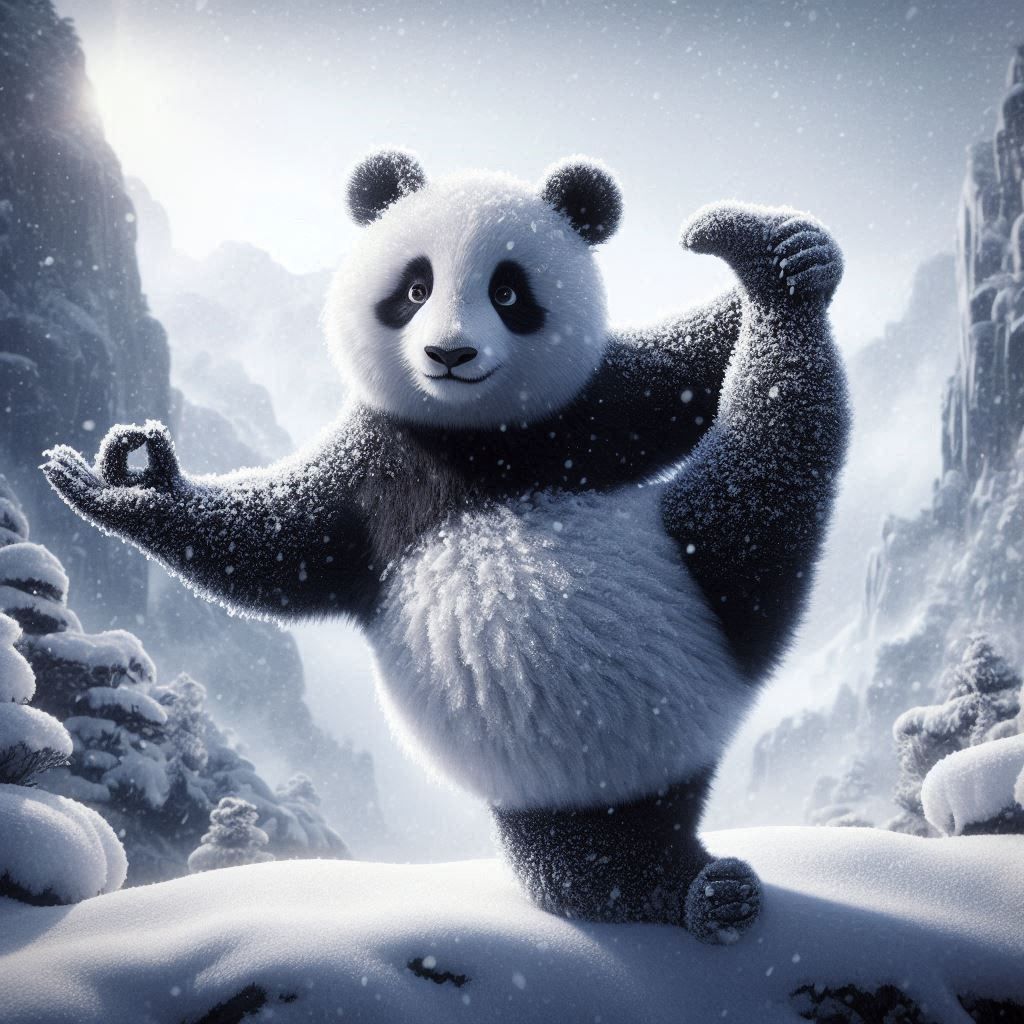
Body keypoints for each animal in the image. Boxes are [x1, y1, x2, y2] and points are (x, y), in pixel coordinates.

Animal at [43, 150, 849, 944]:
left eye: (510, 292)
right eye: (415, 286)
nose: (450, 353)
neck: (472, 435)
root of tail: (687, 749)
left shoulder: (591, 407)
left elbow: (674, 373)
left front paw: (806, 255)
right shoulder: (371, 470)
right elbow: (278, 545)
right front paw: (128, 481)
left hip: (702, 583)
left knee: (769, 468)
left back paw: (766, 262)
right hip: (554, 781)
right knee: (588, 862)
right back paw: (693, 893)